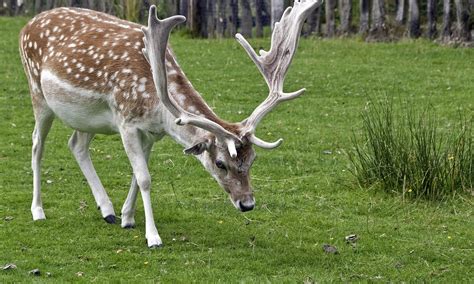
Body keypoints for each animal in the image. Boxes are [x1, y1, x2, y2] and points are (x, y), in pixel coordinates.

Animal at [19, 0, 322, 247]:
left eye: (253, 159)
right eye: (220, 163)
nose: (247, 204)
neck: (159, 110)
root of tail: (27, 24)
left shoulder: (152, 133)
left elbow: (137, 173)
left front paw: (128, 218)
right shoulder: (126, 121)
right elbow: (144, 178)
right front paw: (153, 237)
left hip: (86, 118)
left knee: (76, 144)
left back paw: (107, 210)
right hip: (37, 92)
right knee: (36, 145)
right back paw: (37, 211)